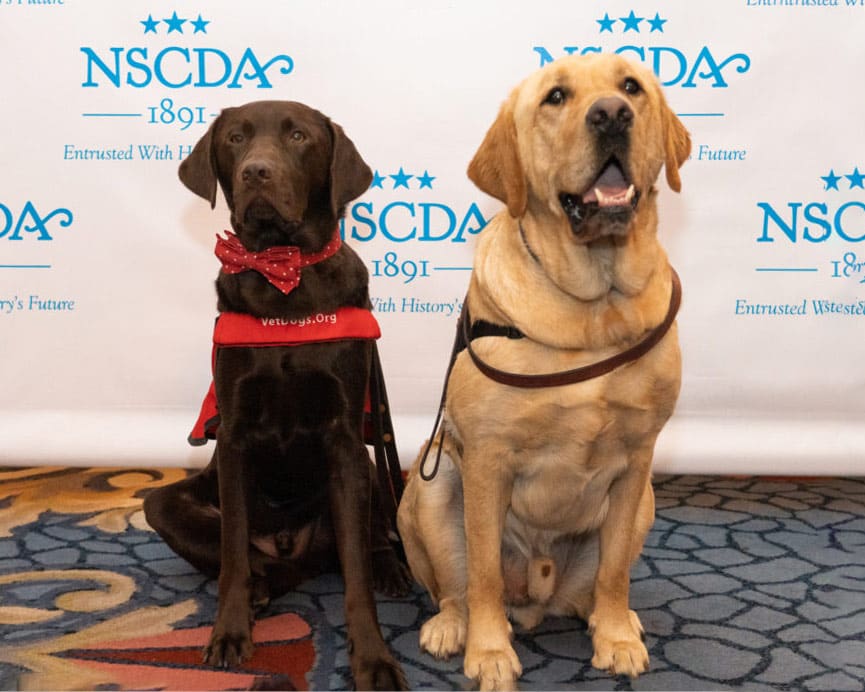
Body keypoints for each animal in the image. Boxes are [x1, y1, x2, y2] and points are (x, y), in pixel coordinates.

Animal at [143, 100, 408, 688]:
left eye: (299, 137)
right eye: (236, 139)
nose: (256, 172)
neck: (285, 279)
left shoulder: (344, 438)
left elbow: (355, 573)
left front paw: (373, 658)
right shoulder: (234, 437)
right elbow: (232, 559)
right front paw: (229, 632)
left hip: (374, 464)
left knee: (370, 537)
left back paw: (389, 567)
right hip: (168, 503)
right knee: (243, 555)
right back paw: (264, 586)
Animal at [396, 56, 688, 688]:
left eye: (631, 87)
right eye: (555, 97)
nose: (612, 114)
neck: (594, 307)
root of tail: (534, 599)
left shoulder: (638, 460)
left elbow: (614, 570)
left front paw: (616, 637)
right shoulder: (486, 460)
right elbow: (481, 572)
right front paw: (489, 654)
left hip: (647, 501)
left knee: (594, 585)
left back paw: (610, 617)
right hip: (431, 484)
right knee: (456, 590)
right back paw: (452, 628)